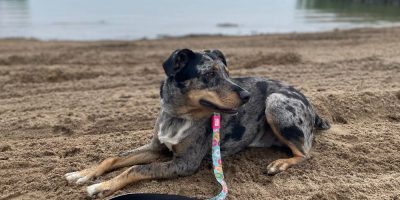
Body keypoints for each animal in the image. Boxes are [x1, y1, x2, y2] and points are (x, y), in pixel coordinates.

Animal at [65, 48, 328, 198]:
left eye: (227, 73)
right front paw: (83, 174)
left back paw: (280, 164)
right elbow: (113, 158)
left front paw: (101, 186)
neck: (178, 116)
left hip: (275, 102)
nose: (247, 96)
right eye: (209, 74)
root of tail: (311, 107)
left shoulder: (185, 163)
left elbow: (135, 169)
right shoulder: (157, 148)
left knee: (305, 153)